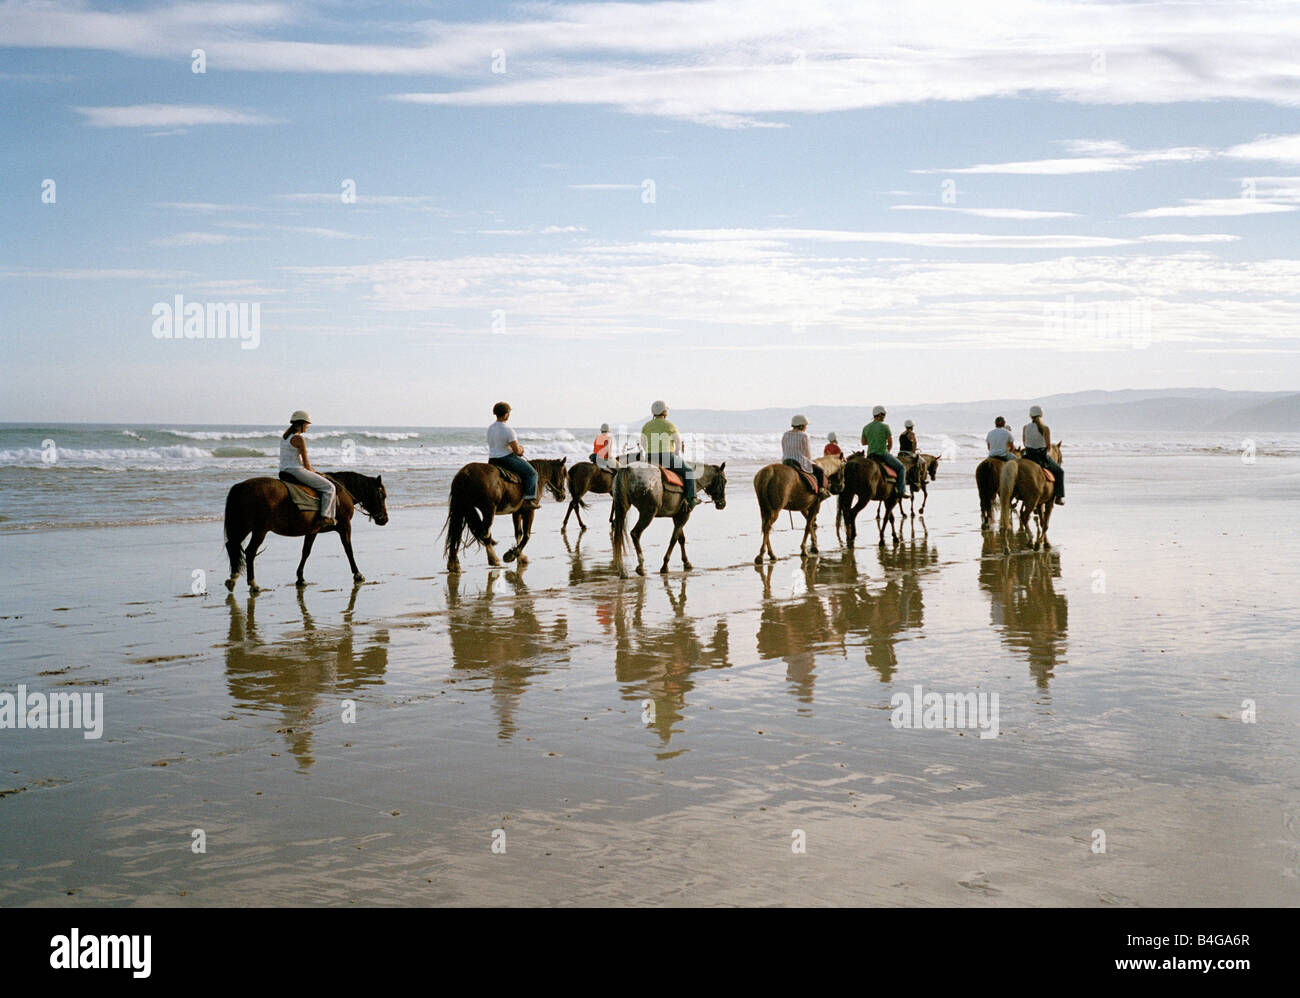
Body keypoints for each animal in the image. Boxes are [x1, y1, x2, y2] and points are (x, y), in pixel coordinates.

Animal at [223, 470, 387, 592]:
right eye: (382, 495)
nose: (384, 519)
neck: (342, 491)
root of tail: (240, 487)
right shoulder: (345, 525)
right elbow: (348, 549)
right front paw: (357, 574)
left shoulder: (312, 530)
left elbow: (306, 552)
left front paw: (300, 578)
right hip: (259, 530)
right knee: (250, 552)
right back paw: (253, 584)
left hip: (244, 527)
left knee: (232, 546)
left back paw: (233, 578)